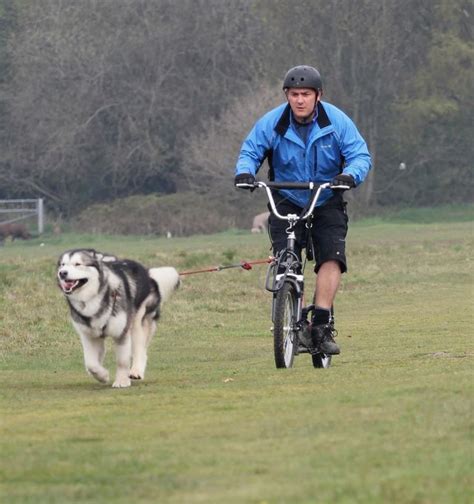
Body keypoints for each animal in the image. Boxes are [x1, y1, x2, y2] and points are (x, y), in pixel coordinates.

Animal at [57, 250, 180, 388]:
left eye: (78, 264)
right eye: (62, 265)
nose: (62, 273)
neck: (93, 299)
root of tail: (148, 273)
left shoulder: (122, 332)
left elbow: (122, 360)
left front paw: (122, 381)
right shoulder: (89, 335)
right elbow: (91, 363)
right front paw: (103, 376)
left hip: (138, 320)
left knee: (140, 350)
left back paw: (136, 371)